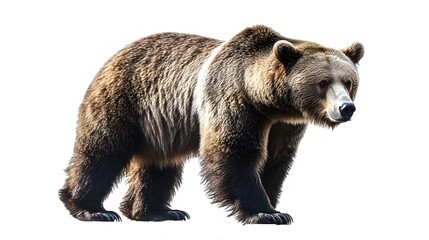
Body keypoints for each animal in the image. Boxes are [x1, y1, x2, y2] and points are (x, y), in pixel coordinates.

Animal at [58, 25, 362, 224]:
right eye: (323, 82)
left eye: (348, 81)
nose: (346, 108)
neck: (267, 101)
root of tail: (114, 56)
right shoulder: (233, 100)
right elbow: (234, 153)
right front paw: (265, 213)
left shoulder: (284, 126)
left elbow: (275, 161)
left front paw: (274, 205)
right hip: (123, 100)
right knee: (102, 152)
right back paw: (92, 209)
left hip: (159, 125)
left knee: (158, 165)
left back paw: (157, 211)